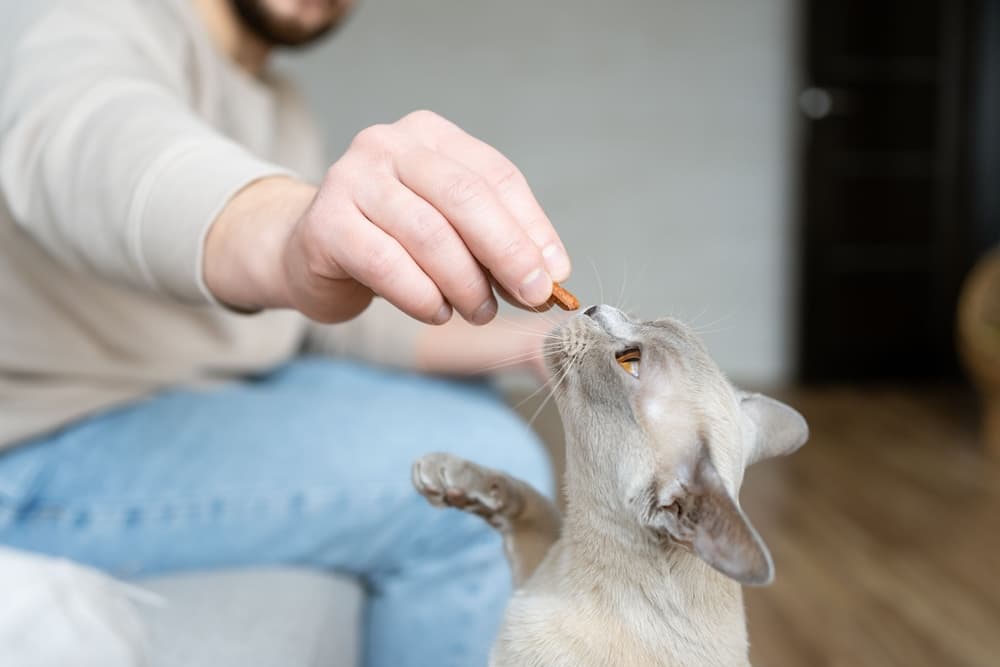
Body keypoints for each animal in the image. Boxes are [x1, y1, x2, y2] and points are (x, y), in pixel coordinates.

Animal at [410, 306, 808, 664]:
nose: (592, 310)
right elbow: (528, 498)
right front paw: (445, 472)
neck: (567, 561)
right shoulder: (536, 565)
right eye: (651, 320)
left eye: (630, 363)